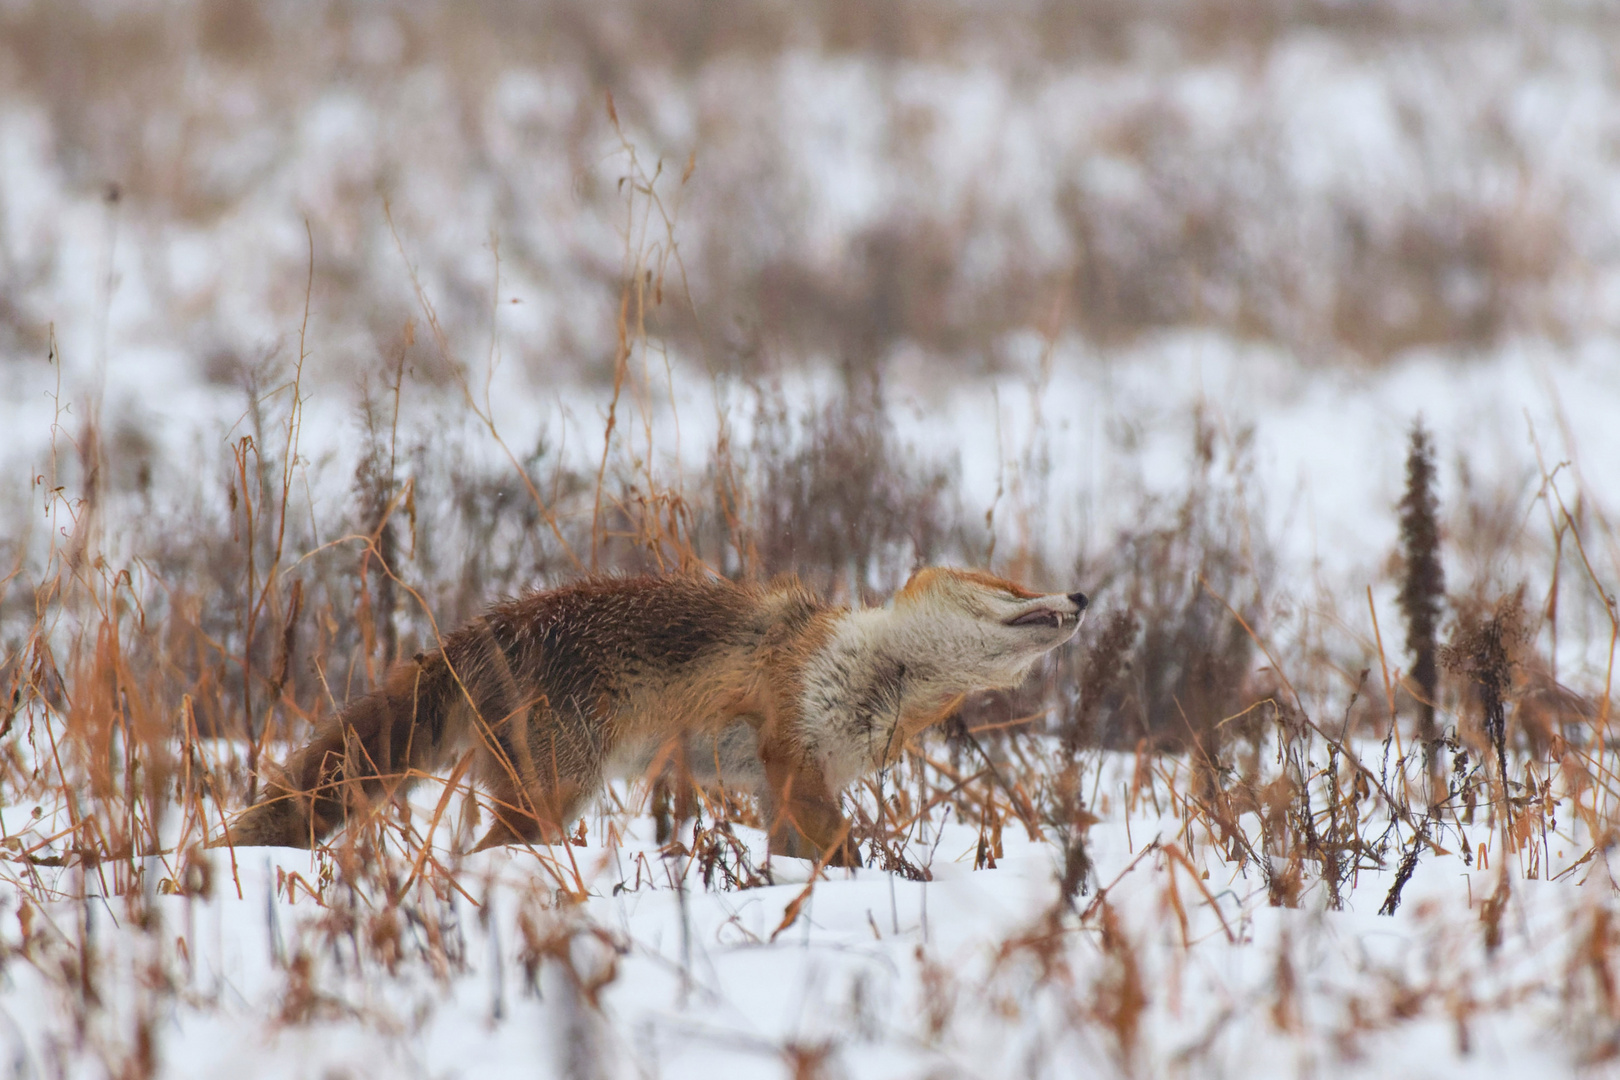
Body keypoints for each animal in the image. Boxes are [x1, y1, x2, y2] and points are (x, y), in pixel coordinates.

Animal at [221, 569, 1088, 867]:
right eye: (1012, 585)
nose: (1083, 596)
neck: (882, 677)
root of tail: (492, 625)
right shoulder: (790, 745)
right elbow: (850, 844)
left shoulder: (786, 786)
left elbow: (805, 857)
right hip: (552, 797)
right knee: (484, 854)